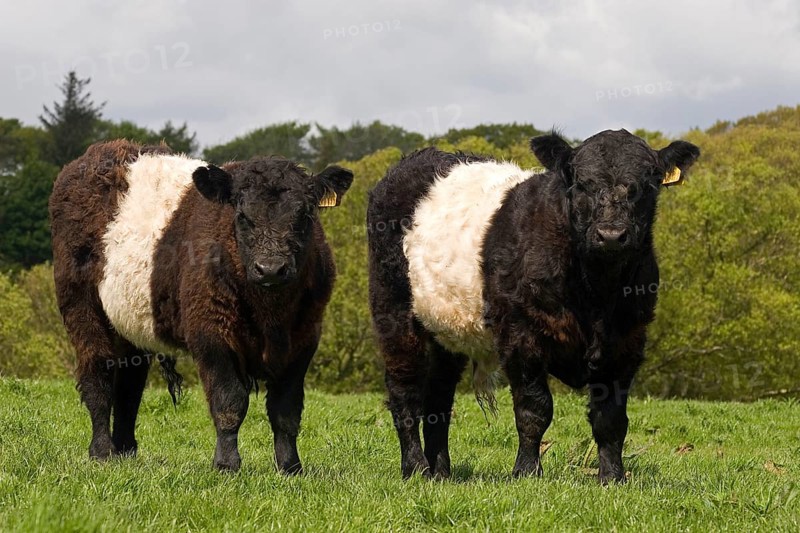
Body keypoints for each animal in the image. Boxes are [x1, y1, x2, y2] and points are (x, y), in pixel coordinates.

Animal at [49, 140, 353, 473]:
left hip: (129, 324)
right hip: (82, 308)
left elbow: (286, 410)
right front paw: (227, 464)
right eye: (242, 216)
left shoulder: (305, 337)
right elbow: (229, 401)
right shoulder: (210, 332)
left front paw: (290, 467)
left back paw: (125, 451)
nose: (271, 269)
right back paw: (103, 452)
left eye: (304, 215)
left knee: (130, 384)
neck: (271, 316)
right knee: (99, 375)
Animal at [367, 129, 699, 483]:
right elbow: (535, 408)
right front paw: (527, 471)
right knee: (404, 390)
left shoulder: (628, 341)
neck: (596, 292)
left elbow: (610, 419)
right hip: (394, 313)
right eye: (581, 183)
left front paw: (613, 477)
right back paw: (415, 468)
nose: (611, 235)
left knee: (438, 398)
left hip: (446, 331)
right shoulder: (521, 334)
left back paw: (440, 472)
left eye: (646, 184)